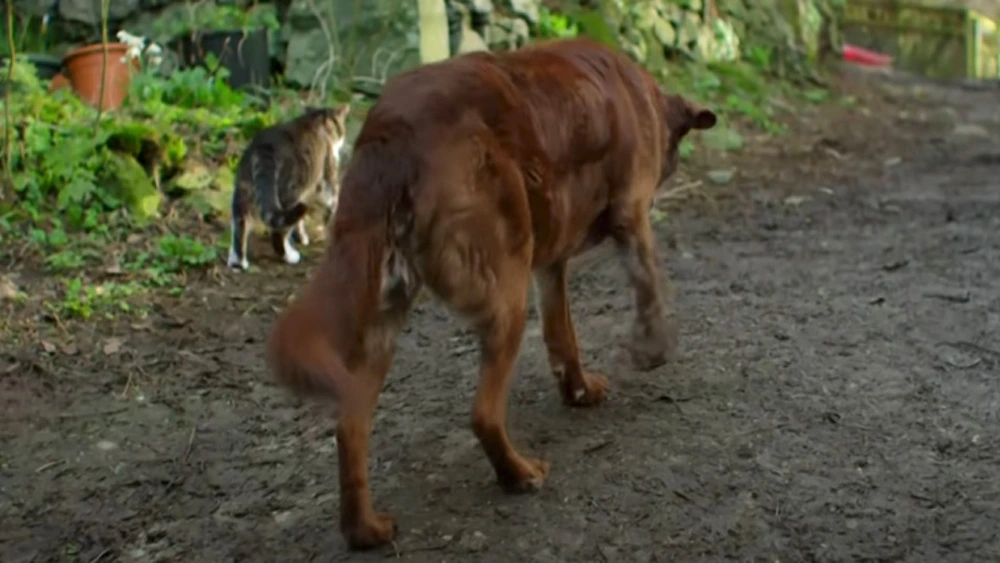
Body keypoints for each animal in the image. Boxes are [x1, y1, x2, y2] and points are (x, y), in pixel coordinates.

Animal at [227, 107, 352, 272]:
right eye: (340, 126)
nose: (342, 139)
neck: (315, 120)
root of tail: (264, 146)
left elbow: (300, 221)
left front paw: (301, 236)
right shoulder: (326, 178)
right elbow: (332, 203)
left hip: (244, 191)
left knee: (240, 226)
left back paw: (238, 262)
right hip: (291, 192)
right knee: (278, 232)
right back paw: (289, 256)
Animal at [268, 38, 720, 552]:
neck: (641, 95)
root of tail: (390, 135)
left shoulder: (550, 266)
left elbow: (563, 335)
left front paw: (579, 390)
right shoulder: (632, 214)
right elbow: (651, 284)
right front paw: (653, 349)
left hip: (384, 317)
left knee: (350, 428)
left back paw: (364, 529)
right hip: (506, 293)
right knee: (483, 413)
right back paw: (518, 475)